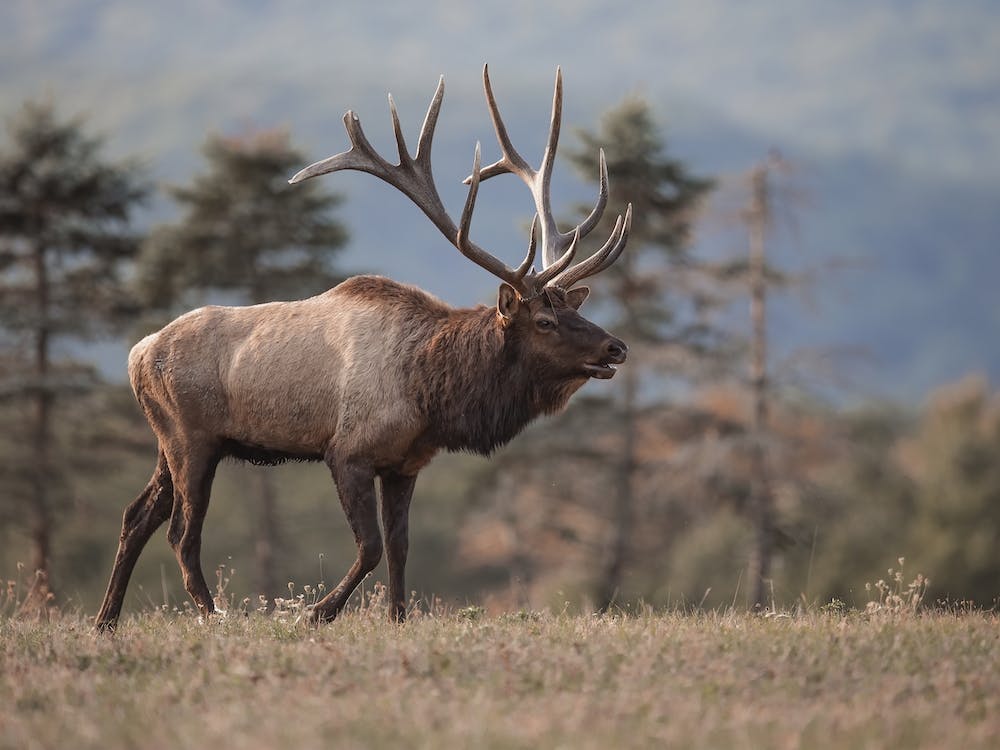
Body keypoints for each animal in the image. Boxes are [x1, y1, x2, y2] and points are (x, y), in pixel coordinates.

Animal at [95, 65, 631, 630]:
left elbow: (399, 546)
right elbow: (370, 547)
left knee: (137, 516)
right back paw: (213, 613)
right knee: (181, 532)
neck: (430, 393)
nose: (616, 347)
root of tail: (137, 353)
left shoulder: (405, 463)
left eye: (574, 311)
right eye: (546, 321)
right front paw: (316, 613)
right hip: (191, 438)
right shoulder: (347, 451)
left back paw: (106, 619)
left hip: (171, 441)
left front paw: (397, 617)